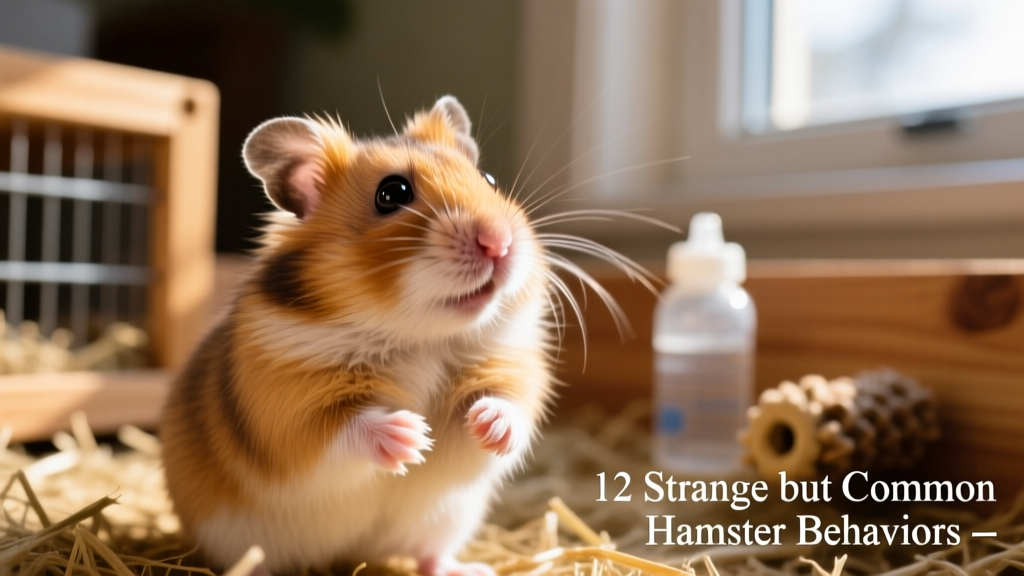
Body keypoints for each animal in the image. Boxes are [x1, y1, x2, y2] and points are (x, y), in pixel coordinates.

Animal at [161, 96, 556, 575]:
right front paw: (412, 436)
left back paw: (469, 569)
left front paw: (487, 425)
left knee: (428, 553)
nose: (498, 243)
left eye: (490, 180)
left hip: (445, 519)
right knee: (251, 562)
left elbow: (508, 405)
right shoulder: (286, 407)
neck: (419, 339)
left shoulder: (515, 368)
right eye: (392, 194)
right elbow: (342, 429)